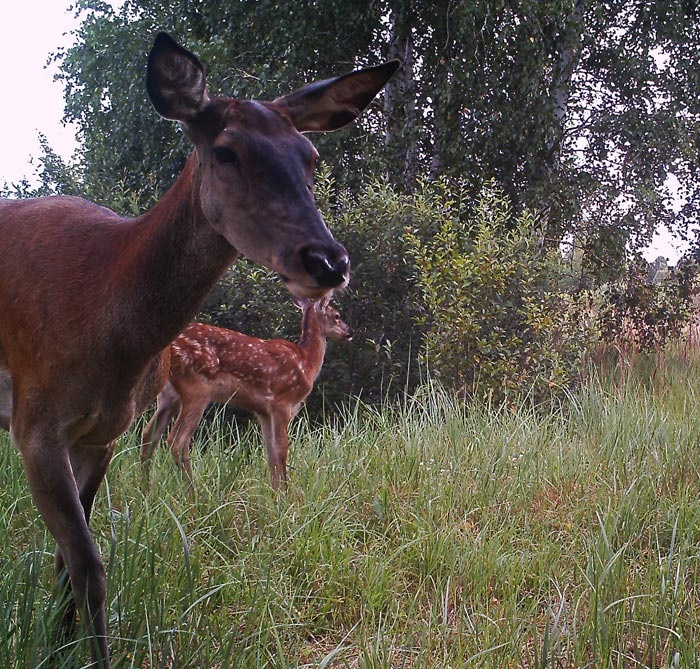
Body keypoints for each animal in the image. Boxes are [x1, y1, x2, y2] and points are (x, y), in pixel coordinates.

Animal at [140, 298, 352, 486]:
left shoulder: (263, 412)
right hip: (196, 389)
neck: (307, 363)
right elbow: (282, 450)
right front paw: (285, 495)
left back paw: (146, 489)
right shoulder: (282, 403)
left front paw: (275, 494)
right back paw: (192, 493)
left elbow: (271, 453)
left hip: (168, 396)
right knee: (177, 440)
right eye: (336, 315)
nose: (350, 331)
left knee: (149, 434)